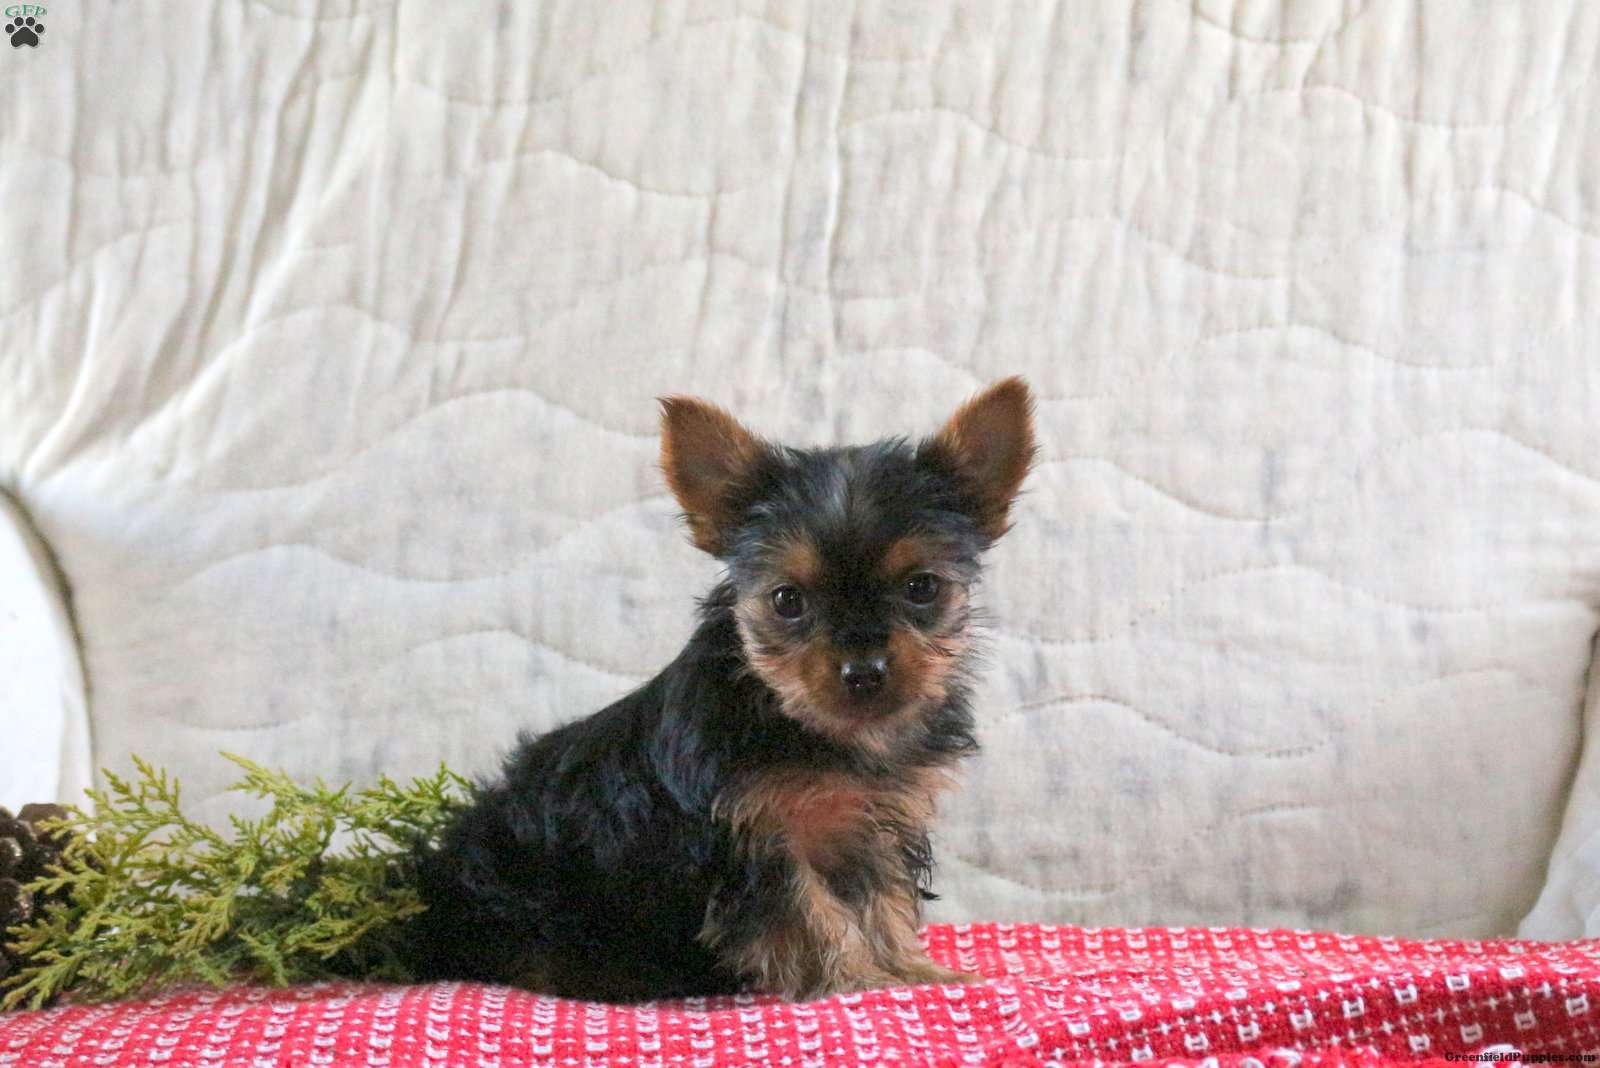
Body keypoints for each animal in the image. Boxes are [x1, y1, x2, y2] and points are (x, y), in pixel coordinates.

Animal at [404, 377, 1034, 1001]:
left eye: (922, 588)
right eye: (787, 600)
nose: (863, 672)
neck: (814, 729)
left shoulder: (875, 828)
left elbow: (885, 903)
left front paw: (913, 970)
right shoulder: (758, 838)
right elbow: (811, 914)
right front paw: (855, 979)